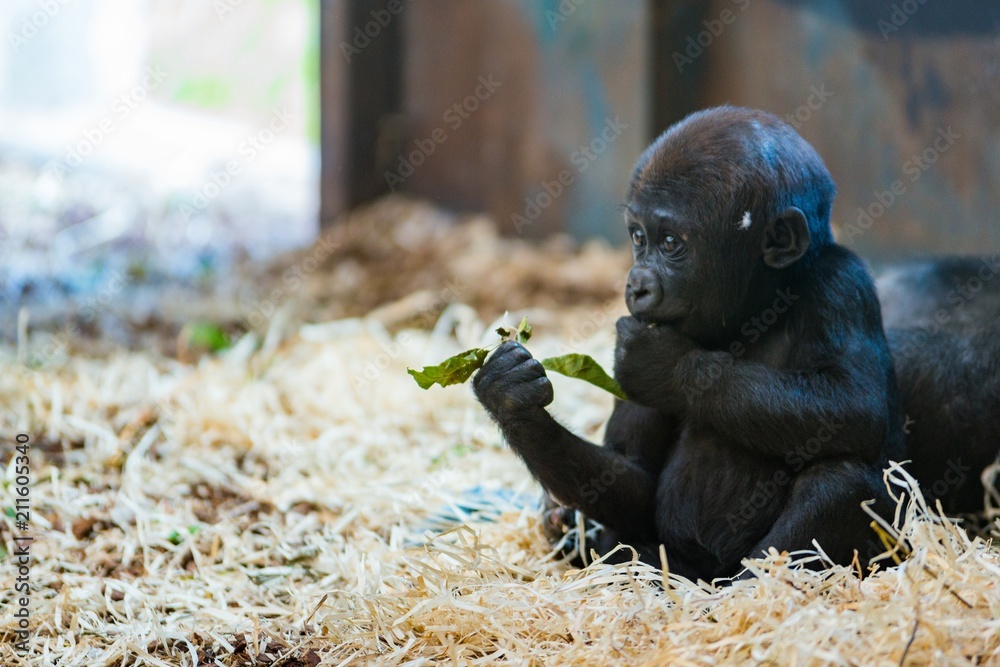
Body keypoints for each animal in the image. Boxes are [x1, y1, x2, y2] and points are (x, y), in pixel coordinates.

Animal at [473, 106, 905, 581]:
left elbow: (857, 406)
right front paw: (513, 403)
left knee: (841, 481)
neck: (760, 310)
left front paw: (666, 366)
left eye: (670, 243)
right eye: (638, 237)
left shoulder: (842, 284)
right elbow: (635, 478)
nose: (636, 285)